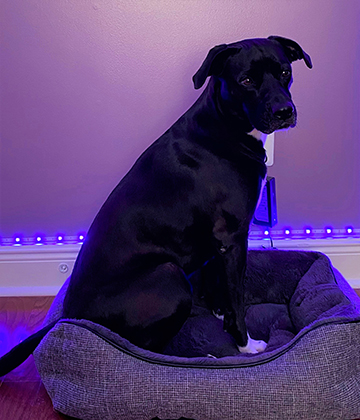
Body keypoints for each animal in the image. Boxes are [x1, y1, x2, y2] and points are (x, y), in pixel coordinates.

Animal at [0, 36, 310, 376]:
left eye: (285, 72)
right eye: (247, 81)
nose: (285, 111)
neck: (223, 126)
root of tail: (72, 317)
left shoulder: (219, 242)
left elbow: (218, 282)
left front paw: (219, 312)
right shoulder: (232, 239)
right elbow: (237, 296)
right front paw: (245, 344)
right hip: (170, 276)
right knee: (145, 350)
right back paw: (202, 358)